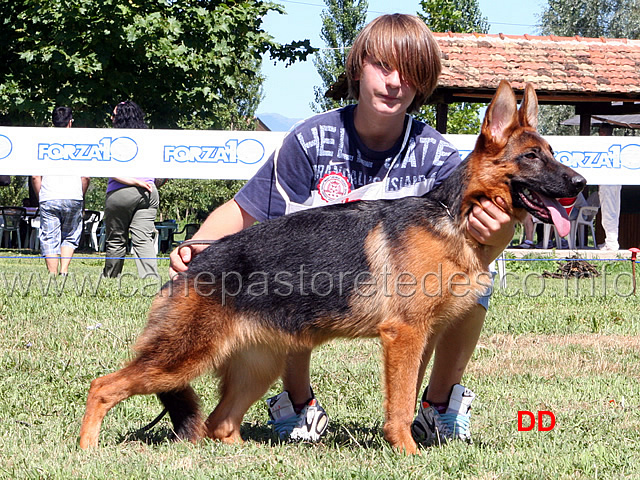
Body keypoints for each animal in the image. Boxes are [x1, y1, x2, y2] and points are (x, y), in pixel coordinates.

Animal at [79, 79, 584, 454]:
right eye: (532, 157)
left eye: (553, 152)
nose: (580, 183)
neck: (453, 216)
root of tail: (191, 264)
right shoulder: (404, 337)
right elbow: (400, 403)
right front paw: (407, 453)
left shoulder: (420, 338)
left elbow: (406, 398)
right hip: (180, 360)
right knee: (103, 386)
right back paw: (87, 450)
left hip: (256, 366)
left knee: (219, 425)